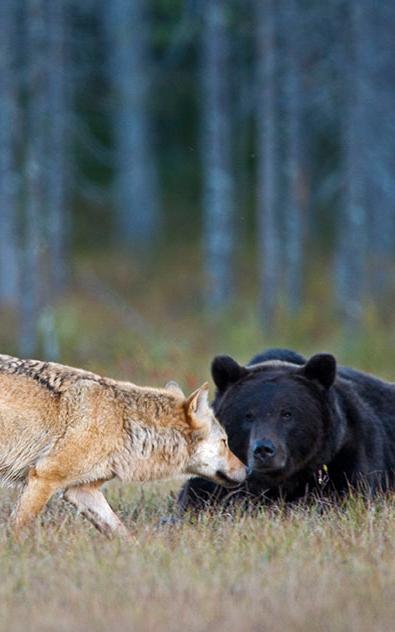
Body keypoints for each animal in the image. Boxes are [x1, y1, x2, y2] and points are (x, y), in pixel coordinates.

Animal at [0, 356, 248, 540]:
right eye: (224, 442)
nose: (248, 470)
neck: (123, 422)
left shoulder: (81, 491)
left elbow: (123, 533)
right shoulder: (43, 478)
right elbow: (17, 528)